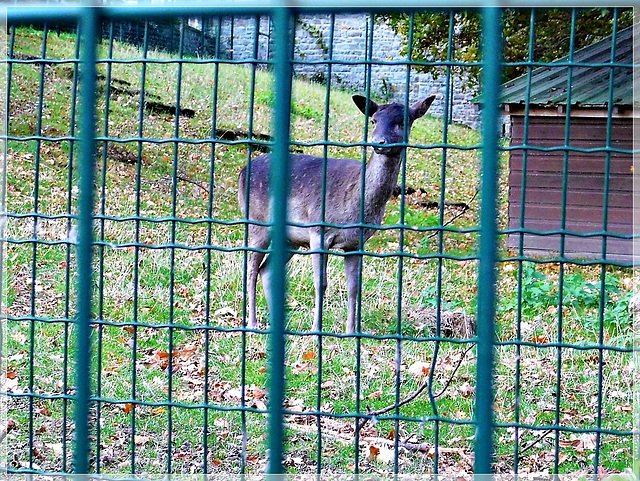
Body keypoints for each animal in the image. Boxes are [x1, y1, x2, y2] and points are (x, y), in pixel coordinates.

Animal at [239, 94, 436, 334]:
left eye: (402, 121)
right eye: (374, 120)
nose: (378, 143)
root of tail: (242, 171)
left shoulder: (356, 243)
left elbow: (353, 287)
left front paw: (351, 331)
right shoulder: (317, 231)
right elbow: (321, 282)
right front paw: (315, 329)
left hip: (289, 239)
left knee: (266, 270)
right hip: (257, 222)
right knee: (250, 267)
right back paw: (253, 322)